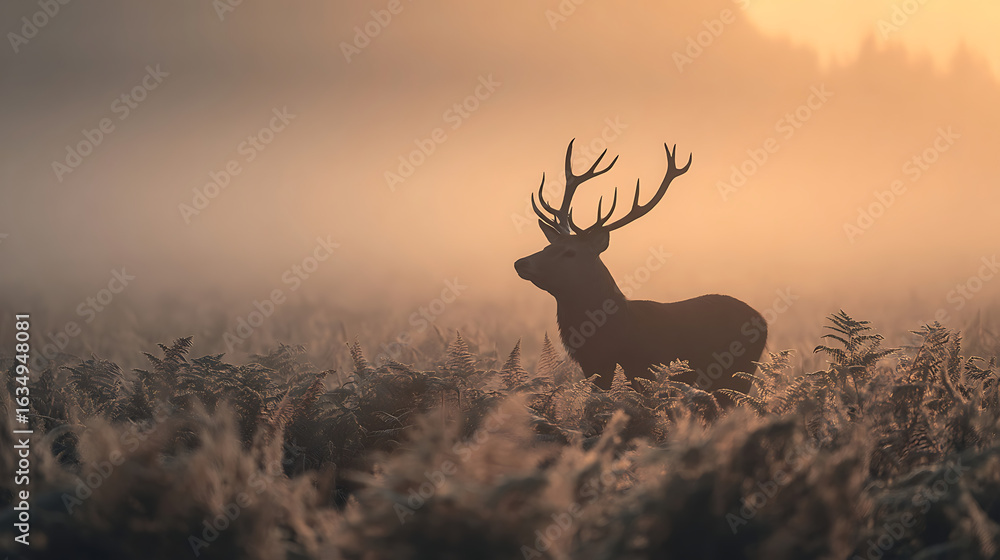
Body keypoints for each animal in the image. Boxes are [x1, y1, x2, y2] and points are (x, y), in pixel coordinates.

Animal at [514, 140, 767, 406]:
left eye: (570, 252)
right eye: (548, 246)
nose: (521, 263)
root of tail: (763, 321)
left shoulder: (643, 372)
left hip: (738, 374)